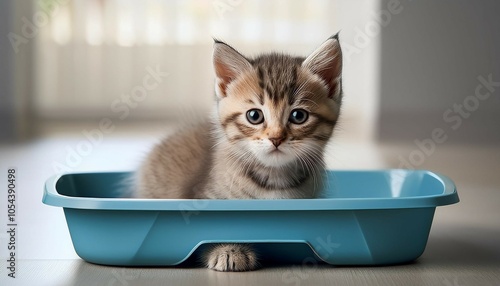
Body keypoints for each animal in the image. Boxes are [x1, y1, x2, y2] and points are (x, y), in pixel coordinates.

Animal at [135, 34, 342, 272]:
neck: (274, 177)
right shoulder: (202, 197)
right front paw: (227, 249)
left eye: (299, 116)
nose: (276, 138)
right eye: (254, 116)